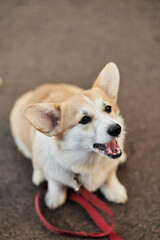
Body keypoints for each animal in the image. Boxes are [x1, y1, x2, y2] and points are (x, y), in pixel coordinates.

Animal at [9, 62, 127, 209]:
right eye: (85, 119)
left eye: (108, 108)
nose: (116, 129)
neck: (89, 163)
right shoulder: (52, 171)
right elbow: (54, 182)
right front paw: (54, 197)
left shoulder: (110, 168)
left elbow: (110, 176)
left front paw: (115, 190)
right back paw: (38, 176)